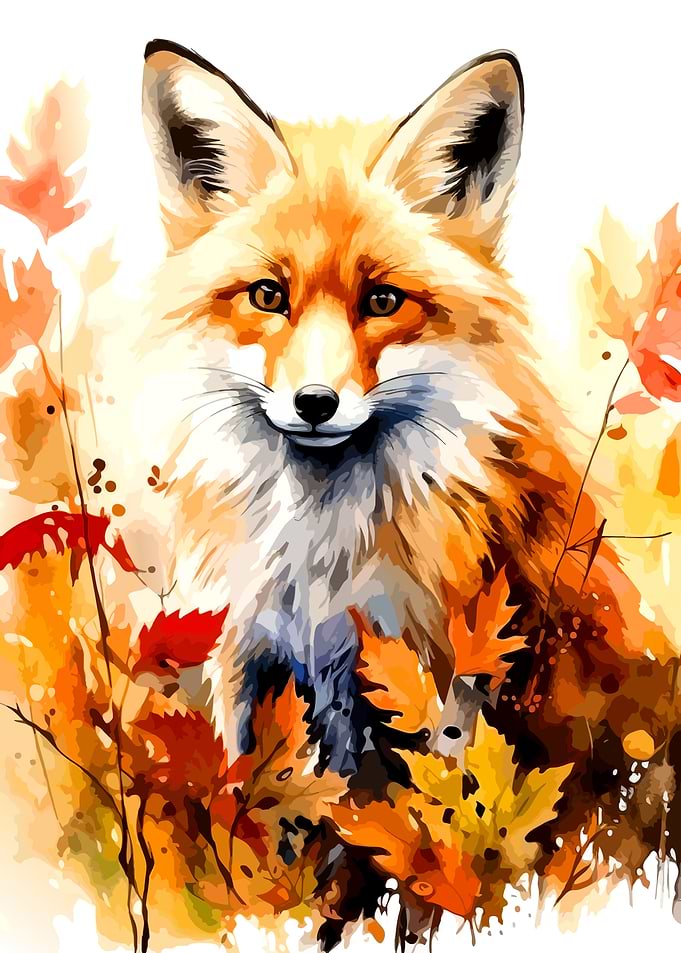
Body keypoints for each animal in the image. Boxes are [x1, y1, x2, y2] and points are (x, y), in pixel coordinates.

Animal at [68, 39, 666, 776]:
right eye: (267, 295)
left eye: (382, 300)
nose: (315, 403)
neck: (319, 557)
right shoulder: (242, 650)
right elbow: (240, 789)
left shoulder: (431, 671)